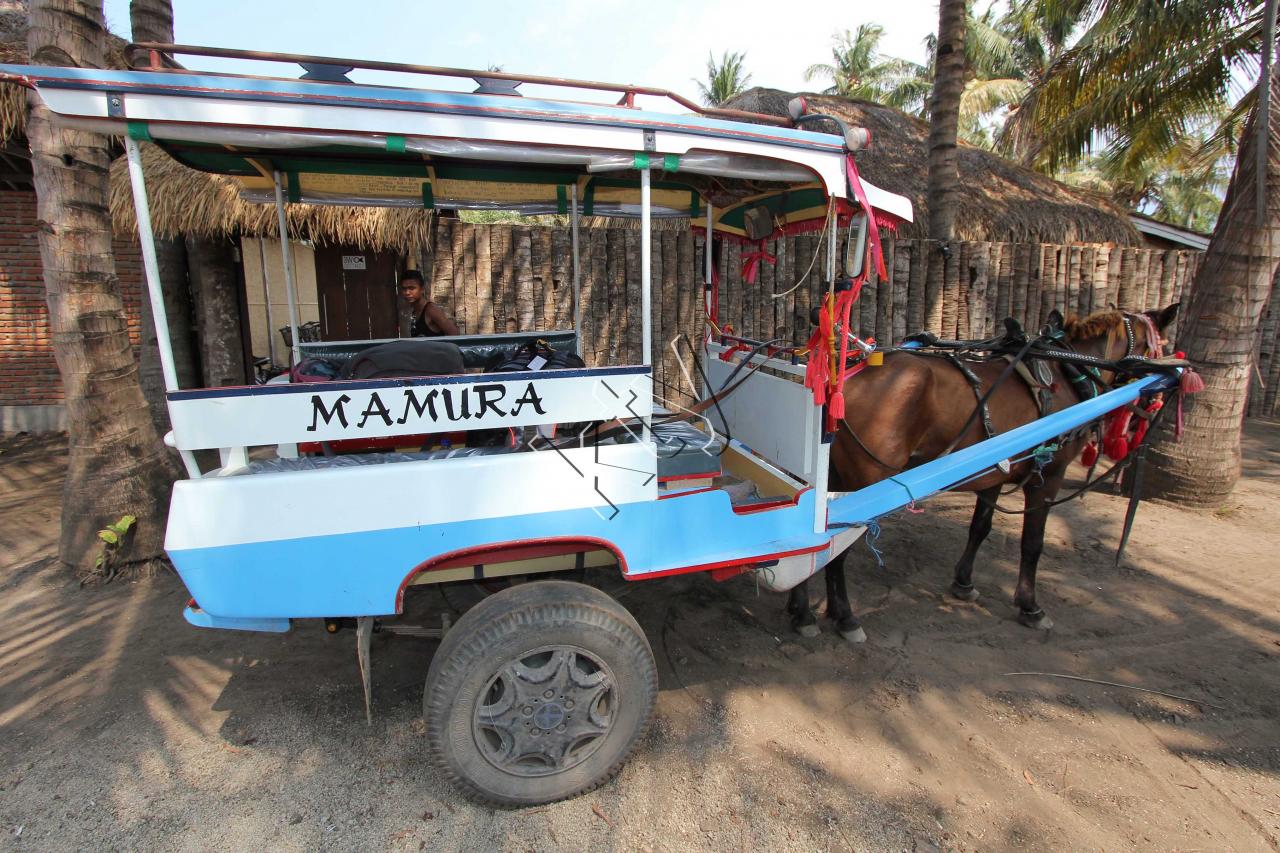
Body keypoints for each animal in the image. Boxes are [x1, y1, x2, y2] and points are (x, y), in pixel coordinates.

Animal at [783, 303, 1182, 637]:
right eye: (1160, 344)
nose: (1167, 384)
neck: (1068, 369)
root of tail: (843, 378)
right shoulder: (1047, 478)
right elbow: (1032, 544)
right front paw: (1030, 606)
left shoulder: (995, 471)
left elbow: (980, 528)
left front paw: (964, 583)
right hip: (862, 483)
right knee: (834, 549)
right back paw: (846, 616)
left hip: (834, 476)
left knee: (810, 543)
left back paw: (802, 612)